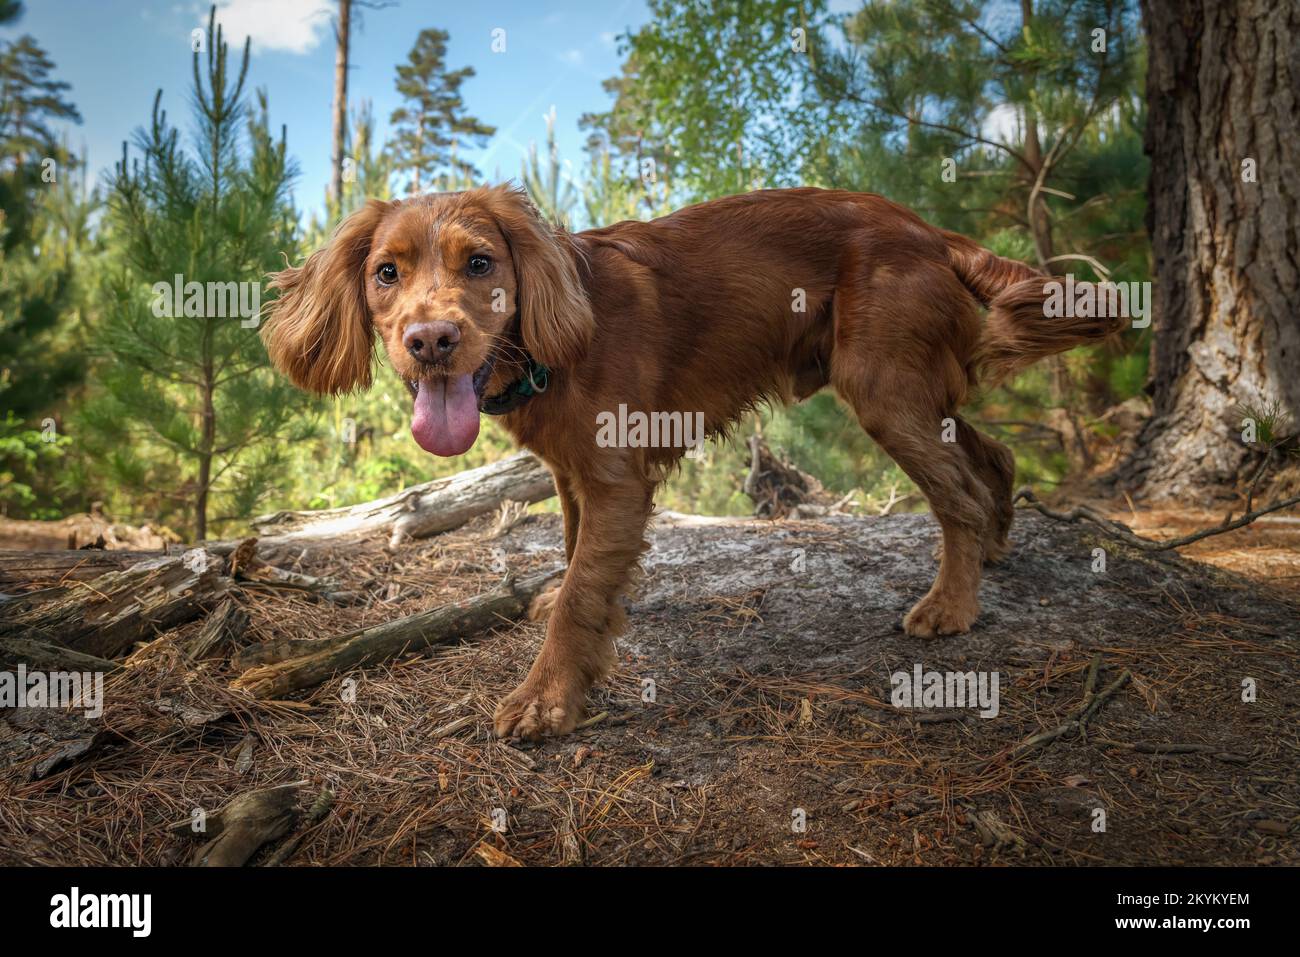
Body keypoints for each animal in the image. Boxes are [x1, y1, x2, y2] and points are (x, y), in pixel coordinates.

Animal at [261, 184, 1118, 738]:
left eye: (479, 264)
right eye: (387, 272)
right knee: (991, 454)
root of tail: (923, 225)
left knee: (959, 493)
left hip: (883, 387)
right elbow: (574, 559)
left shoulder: (615, 479)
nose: (431, 340)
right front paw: (577, 622)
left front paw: (548, 699)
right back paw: (995, 547)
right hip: (909, 389)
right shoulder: (574, 476)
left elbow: (580, 593)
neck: (546, 343)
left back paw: (951, 602)